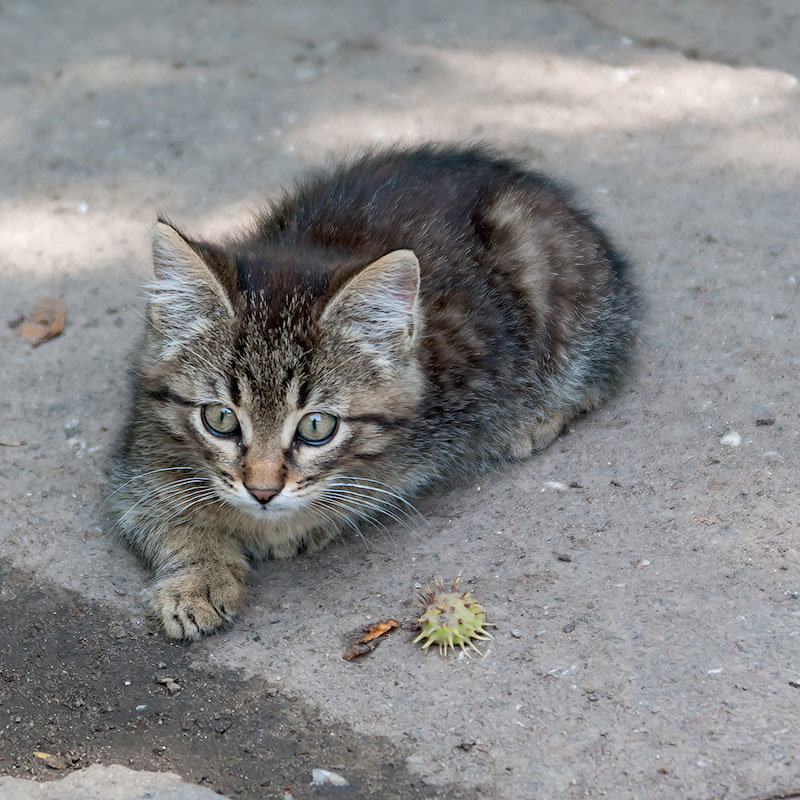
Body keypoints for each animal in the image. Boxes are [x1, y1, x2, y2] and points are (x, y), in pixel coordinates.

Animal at [111, 144, 636, 640]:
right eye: (220, 418)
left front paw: (297, 526)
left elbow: (370, 488)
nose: (262, 491)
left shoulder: (443, 428)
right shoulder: (137, 456)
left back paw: (534, 419)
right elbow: (155, 513)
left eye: (316, 426)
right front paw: (198, 577)